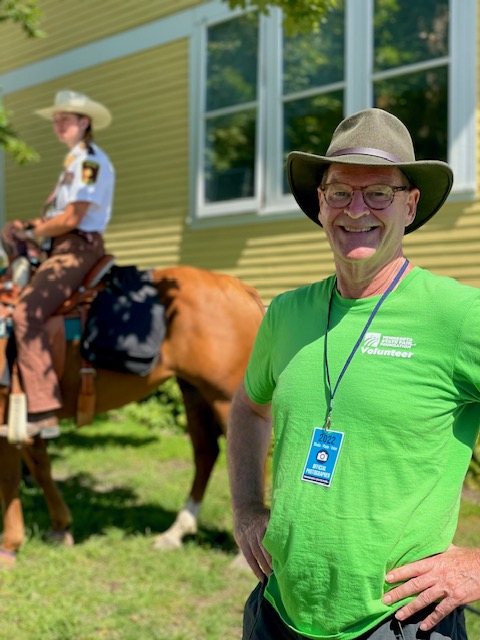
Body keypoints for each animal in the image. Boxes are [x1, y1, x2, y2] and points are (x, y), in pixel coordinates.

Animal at [0, 264, 264, 564]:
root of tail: (241, 288)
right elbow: (39, 465)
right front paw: (60, 527)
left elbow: (10, 478)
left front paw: (10, 544)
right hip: (194, 390)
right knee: (206, 453)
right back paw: (175, 533)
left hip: (225, 397)